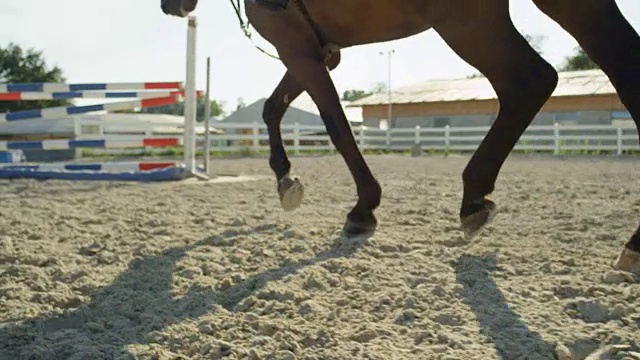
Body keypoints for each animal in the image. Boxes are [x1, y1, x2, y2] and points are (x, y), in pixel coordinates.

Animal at [161, 0, 640, 274]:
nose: (170, 7)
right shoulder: (317, 51)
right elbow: (272, 108)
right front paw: (285, 180)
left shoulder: (297, 48)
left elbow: (336, 126)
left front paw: (362, 208)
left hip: (465, 21)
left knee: (528, 81)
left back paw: (473, 198)